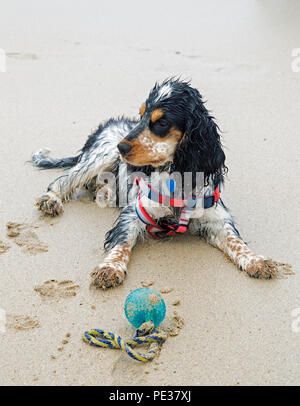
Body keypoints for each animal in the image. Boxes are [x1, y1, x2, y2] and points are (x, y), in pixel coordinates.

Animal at [31, 78, 292, 288]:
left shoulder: (216, 218)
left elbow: (235, 240)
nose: (121, 146)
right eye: (141, 116)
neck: (178, 177)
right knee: (63, 180)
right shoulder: (134, 212)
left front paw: (257, 260)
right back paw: (51, 200)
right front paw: (110, 268)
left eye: (162, 122)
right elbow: (121, 241)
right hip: (99, 156)